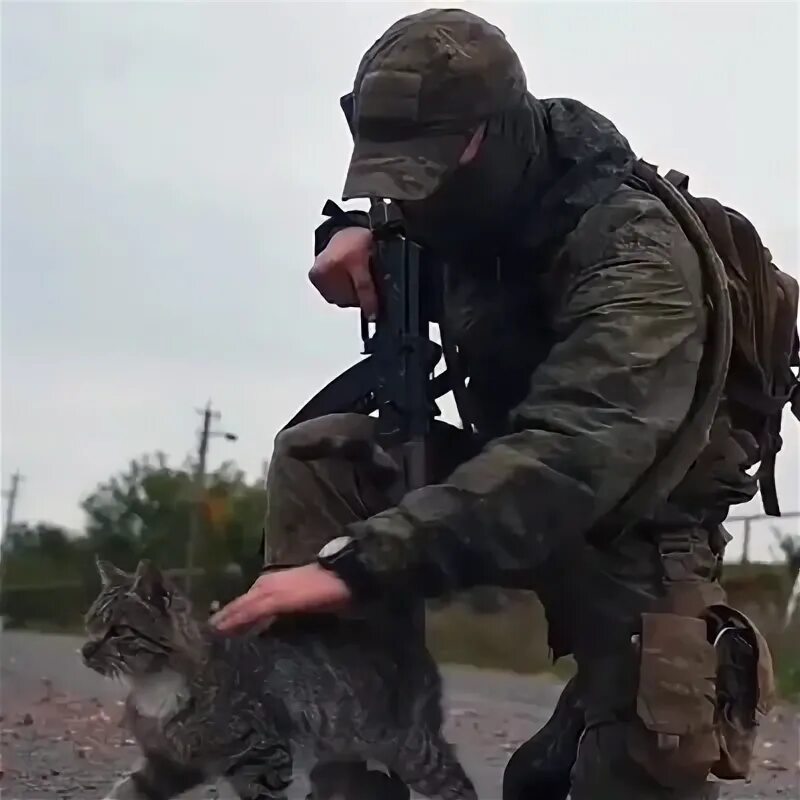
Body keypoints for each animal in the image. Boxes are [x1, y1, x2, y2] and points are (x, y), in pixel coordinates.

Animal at [81, 556, 476, 800]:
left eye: (117, 631)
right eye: (90, 623)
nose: (84, 649)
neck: (154, 686)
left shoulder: (264, 758)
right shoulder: (169, 765)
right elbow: (125, 791)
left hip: (414, 752)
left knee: (459, 783)